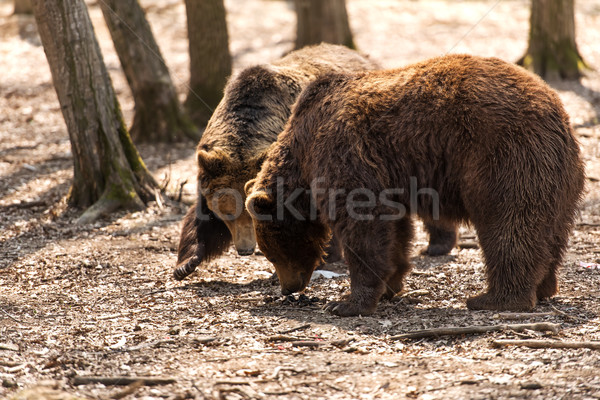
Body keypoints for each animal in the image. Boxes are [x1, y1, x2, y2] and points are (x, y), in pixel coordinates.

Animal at [245, 54, 584, 316]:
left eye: (272, 252)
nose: (288, 288)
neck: (303, 147)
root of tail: (557, 112)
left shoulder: (343, 151)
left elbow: (363, 223)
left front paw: (346, 303)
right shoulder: (387, 177)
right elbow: (393, 228)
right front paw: (390, 285)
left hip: (504, 155)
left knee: (508, 224)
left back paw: (493, 298)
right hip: (562, 178)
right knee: (552, 231)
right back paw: (544, 287)